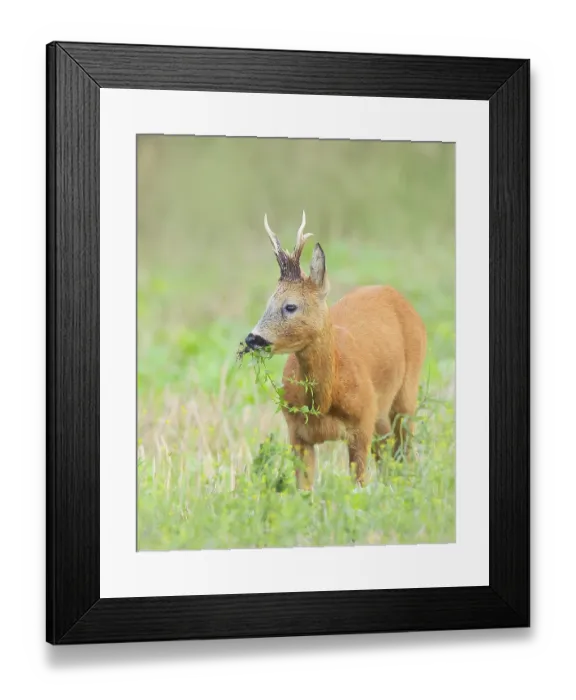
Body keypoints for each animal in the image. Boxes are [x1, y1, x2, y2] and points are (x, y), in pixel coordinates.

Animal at [244, 211, 427, 491]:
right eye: (268, 303)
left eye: (290, 306)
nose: (253, 338)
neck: (324, 402)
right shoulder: (296, 432)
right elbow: (303, 491)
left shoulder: (362, 424)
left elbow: (358, 485)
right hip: (382, 414)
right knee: (388, 454)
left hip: (407, 391)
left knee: (405, 449)